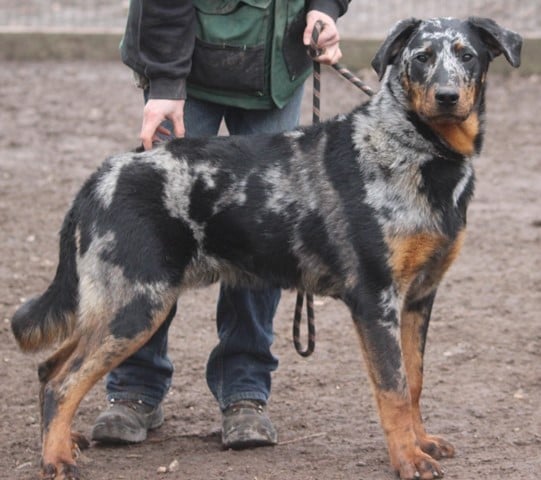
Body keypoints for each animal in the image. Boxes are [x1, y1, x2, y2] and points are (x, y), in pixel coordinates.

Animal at [11, 15, 520, 480]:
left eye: (467, 56)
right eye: (421, 58)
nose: (447, 96)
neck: (417, 149)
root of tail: (100, 175)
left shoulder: (418, 299)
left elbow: (413, 381)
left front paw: (422, 442)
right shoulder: (377, 302)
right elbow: (393, 390)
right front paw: (408, 460)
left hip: (113, 305)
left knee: (49, 369)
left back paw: (64, 442)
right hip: (136, 305)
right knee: (63, 383)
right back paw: (56, 460)